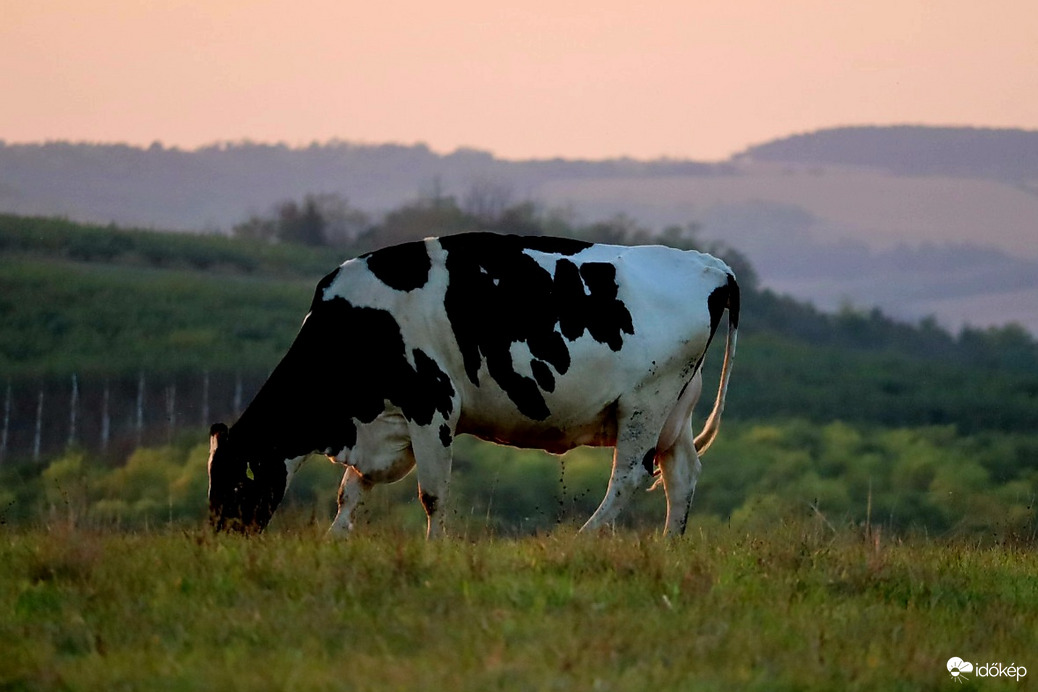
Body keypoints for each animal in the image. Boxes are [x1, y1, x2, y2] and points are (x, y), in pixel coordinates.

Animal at [206, 232, 739, 535]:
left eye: (234, 482)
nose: (222, 539)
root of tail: (711, 265)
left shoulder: (432, 404)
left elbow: (432, 494)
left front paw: (434, 549)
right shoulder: (386, 425)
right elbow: (351, 491)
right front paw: (334, 541)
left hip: (646, 401)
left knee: (629, 475)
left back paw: (581, 540)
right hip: (675, 410)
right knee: (681, 475)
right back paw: (669, 546)